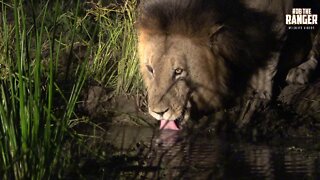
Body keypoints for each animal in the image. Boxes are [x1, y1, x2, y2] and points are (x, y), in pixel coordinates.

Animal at [136, 0, 318, 129]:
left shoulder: (277, 16)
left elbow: (269, 60)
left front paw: (257, 97)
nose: (158, 112)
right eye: (150, 69)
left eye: (179, 71)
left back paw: (300, 72)